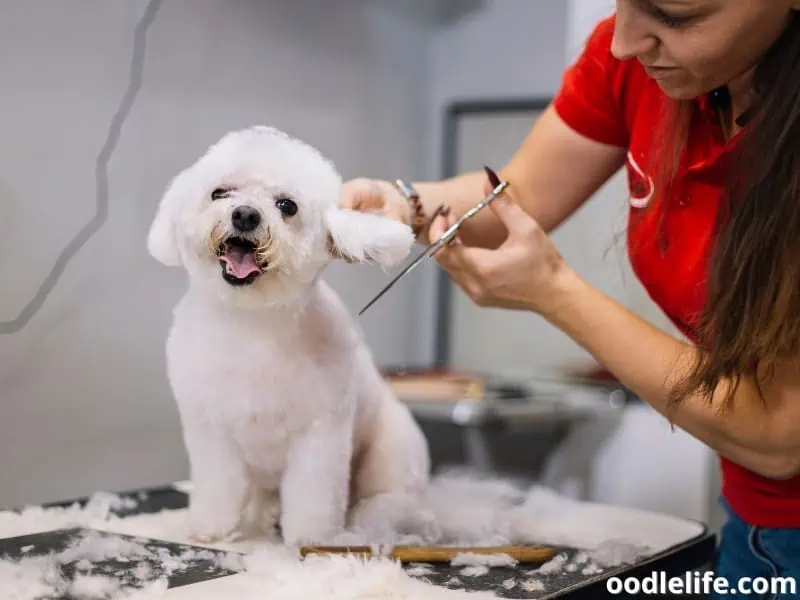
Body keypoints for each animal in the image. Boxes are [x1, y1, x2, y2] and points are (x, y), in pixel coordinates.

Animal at [145, 126, 432, 548]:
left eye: (287, 206)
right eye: (219, 193)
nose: (245, 214)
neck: (254, 325)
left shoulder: (320, 435)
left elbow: (314, 495)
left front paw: (311, 538)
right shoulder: (210, 431)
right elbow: (217, 485)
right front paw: (212, 527)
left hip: (390, 453)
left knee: (387, 497)